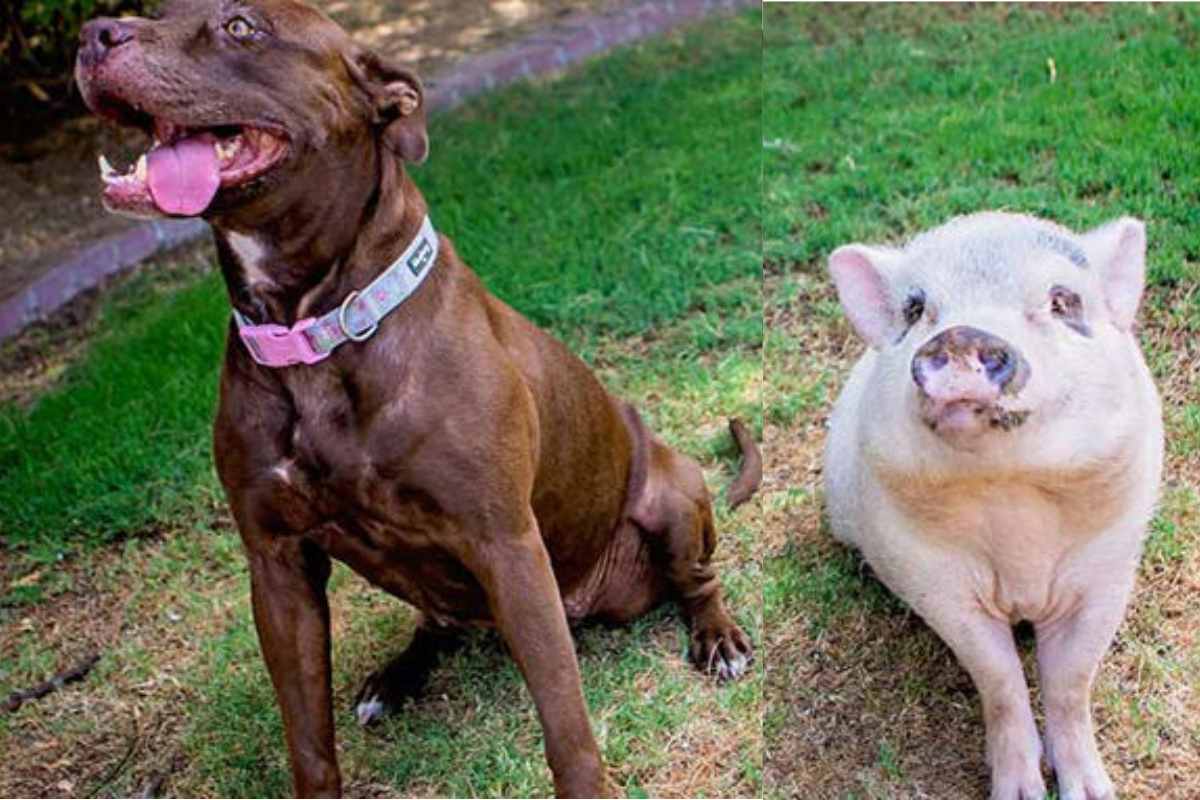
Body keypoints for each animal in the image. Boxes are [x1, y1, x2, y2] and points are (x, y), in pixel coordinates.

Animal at [822, 212, 1163, 800]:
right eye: (915, 309)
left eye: (1062, 301)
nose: (962, 335)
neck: (1010, 493)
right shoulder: (933, 579)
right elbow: (998, 679)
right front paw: (1019, 792)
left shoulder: (1110, 568)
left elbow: (1072, 680)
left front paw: (1093, 792)